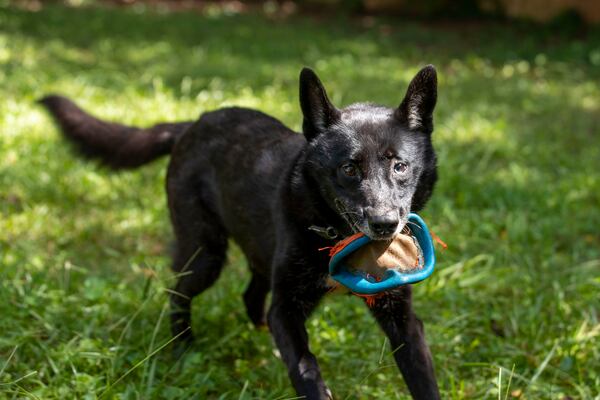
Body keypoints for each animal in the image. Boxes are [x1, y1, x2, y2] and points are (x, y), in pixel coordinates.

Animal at [38, 67, 440, 398]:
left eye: (400, 166)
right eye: (349, 169)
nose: (384, 225)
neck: (333, 232)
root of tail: (193, 124)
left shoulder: (401, 317)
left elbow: (422, 378)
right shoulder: (286, 309)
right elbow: (307, 370)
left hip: (258, 252)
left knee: (250, 297)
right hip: (205, 255)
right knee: (177, 293)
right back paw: (182, 349)